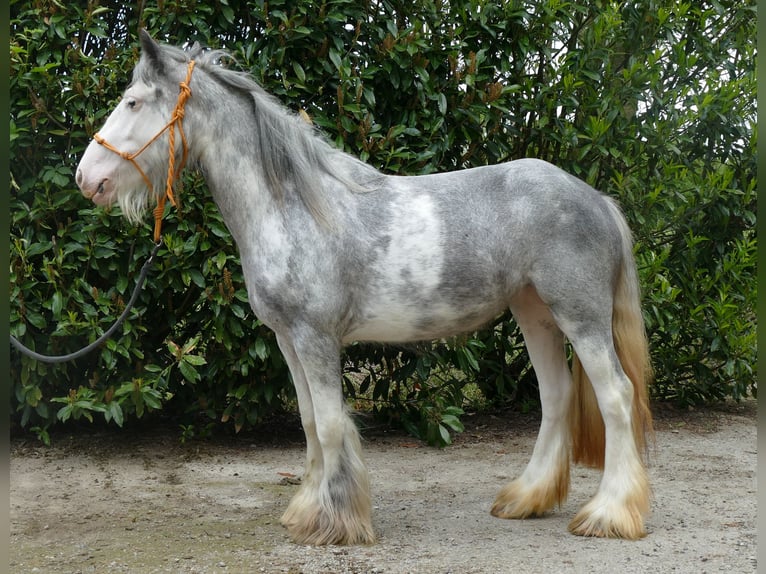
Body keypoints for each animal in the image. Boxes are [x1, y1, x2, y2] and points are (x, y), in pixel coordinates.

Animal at [76, 29, 656, 548]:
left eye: (132, 102)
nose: (86, 178)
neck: (293, 208)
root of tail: (595, 199)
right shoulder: (289, 340)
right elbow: (311, 423)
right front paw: (308, 511)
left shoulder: (315, 339)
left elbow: (332, 426)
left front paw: (336, 525)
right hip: (535, 313)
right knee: (556, 396)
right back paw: (526, 499)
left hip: (580, 317)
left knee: (616, 396)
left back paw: (608, 514)